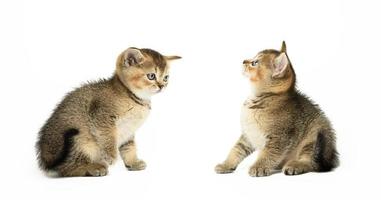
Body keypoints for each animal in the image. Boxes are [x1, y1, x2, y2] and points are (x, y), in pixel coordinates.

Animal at [36, 47, 182, 177]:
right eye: (151, 76)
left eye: (166, 78)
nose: (162, 86)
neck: (131, 96)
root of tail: (46, 159)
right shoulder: (101, 117)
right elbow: (108, 138)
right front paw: (111, 156)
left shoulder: (128, 130)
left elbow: (129, 147)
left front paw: (133, 163)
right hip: (80, 139)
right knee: (66, 169)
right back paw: (92, 168)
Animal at [215, 41, 336, 176]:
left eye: (254, 63)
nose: (243, 61)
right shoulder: (247, 135)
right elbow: (236, 150)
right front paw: (226, 164)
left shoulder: (279, 137)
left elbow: (268, 154)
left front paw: (259, 167)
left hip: (314, 135)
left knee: (311, 162)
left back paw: (295, 165)